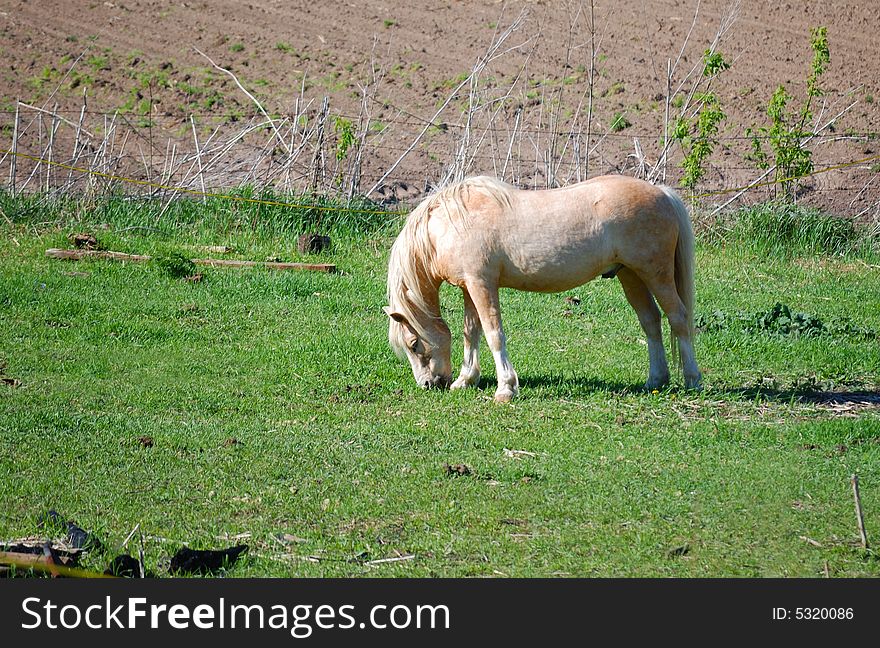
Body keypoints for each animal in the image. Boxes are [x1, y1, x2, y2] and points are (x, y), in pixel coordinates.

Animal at [384, 175, 700, 402]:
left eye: (413, 344)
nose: (429, 384)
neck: (451, 223)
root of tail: (662, 193)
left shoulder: (481, 283)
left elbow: (494, 334)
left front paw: (505, 389)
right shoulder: (469, 287)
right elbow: (471, 333)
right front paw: (466, 380)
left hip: (656, 275)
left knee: (678, 319)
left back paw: (693, 379)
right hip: (631, 276)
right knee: (651, 322)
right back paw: (655, 380)